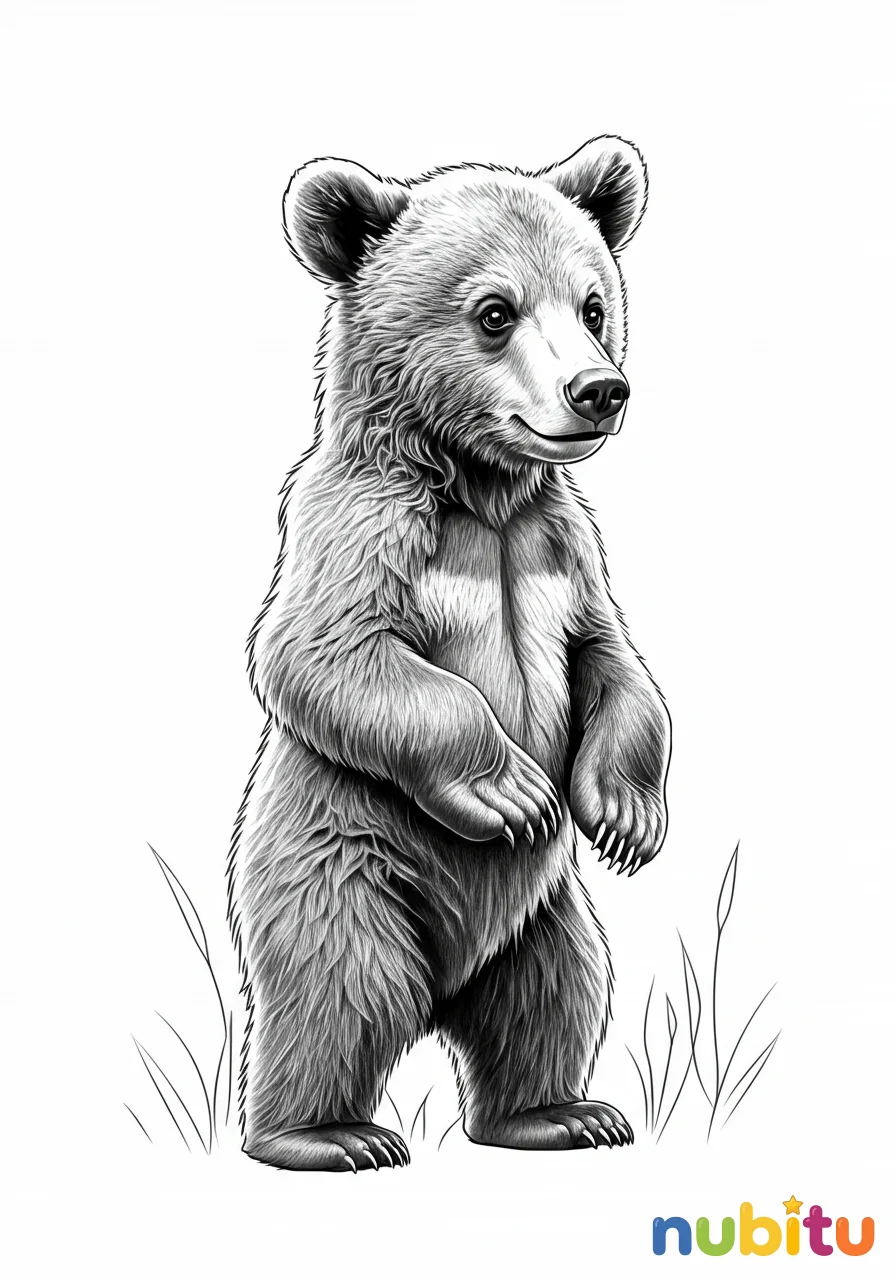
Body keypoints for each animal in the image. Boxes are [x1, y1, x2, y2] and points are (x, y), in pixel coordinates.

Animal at [227, 136, 671, 1172]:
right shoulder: (364, 526)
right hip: (344, 866)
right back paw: (325, 1134)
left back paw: (560, 1114)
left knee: (558, 992)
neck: (482, 490)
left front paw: (623, 811)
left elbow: (613, 662)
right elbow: (324, 653)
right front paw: (513, 791)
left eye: (593, 304)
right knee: (339, 990)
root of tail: (444, 991)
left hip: (545, 918)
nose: (599, 390)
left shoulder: (561, 549)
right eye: (494, 311)